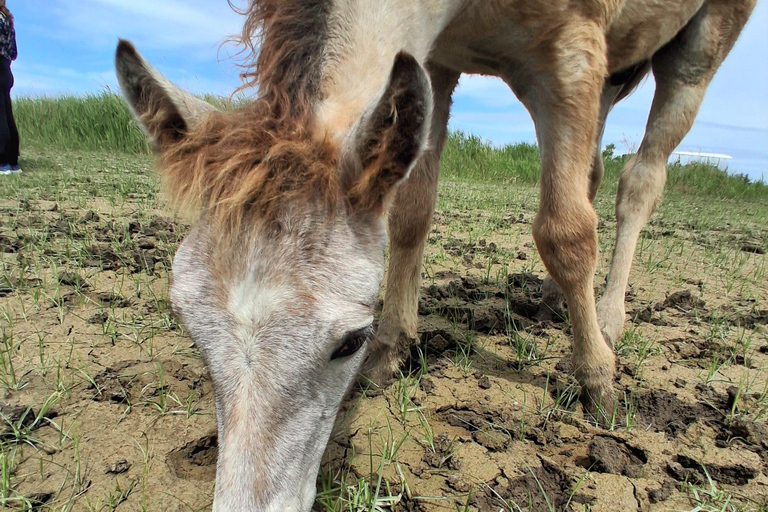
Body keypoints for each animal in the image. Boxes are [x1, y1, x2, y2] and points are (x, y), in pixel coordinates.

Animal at [115, 0, 756, 510]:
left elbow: (566, 231)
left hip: (697, 45)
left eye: (348, 341)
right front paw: (395, 347)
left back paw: (609, 320)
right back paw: (557, 304)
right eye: (188, 326)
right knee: (593, 169)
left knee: (639, 180)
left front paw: (598, 381)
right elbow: (413, 209)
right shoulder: (436, 63)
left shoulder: (571, 51)